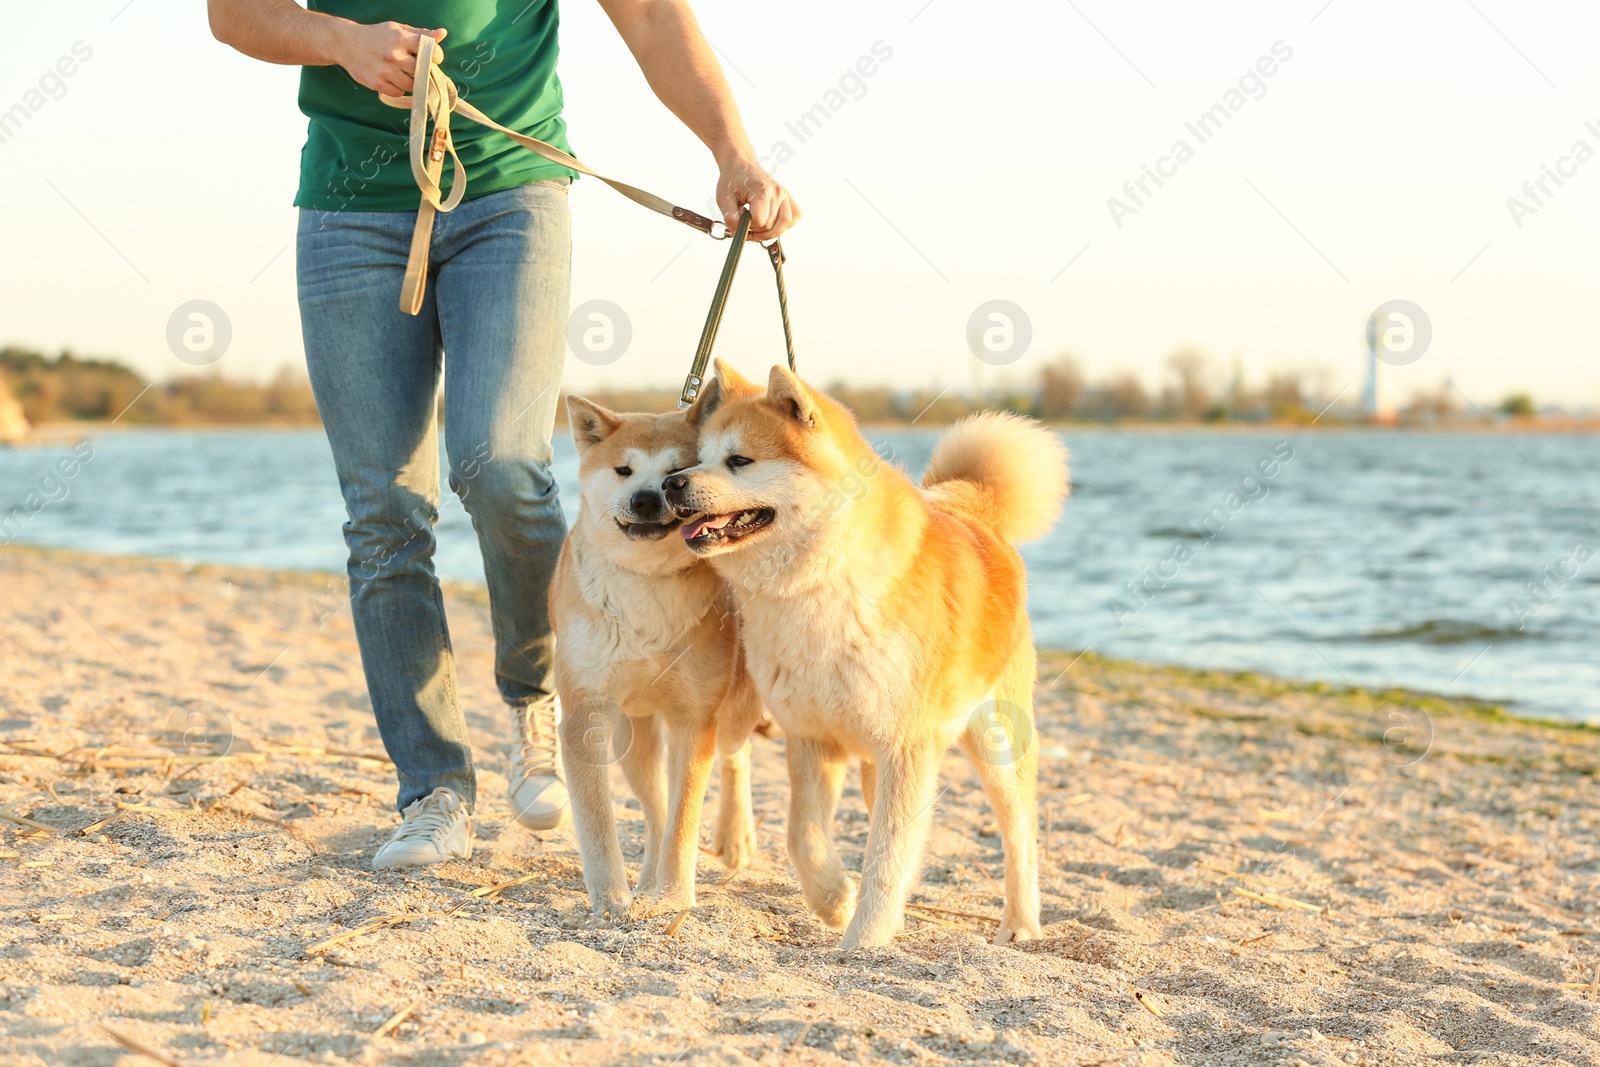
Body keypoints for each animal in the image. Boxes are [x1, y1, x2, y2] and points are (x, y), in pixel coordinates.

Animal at [550, 396, 761, 921]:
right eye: (623, 470)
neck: (646, 585)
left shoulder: (695, 718)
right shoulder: (585, 711)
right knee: (654, 806)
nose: (647, 498)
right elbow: (599, 821)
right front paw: (612, 899)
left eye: (676, 472)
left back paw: (734, 838)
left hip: (732, 709)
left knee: (736, 756)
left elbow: (685, 818)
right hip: (633, 732)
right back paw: (644, 879)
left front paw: (672, 897)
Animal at [668, 363, 1068, 947]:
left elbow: (887, 854)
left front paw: (866, 938)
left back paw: (1020, 925)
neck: (821, 585)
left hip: (997, 746)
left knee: (1021, 840)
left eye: (739, 461)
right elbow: (804, 836)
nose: (672, 483)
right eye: (698, 457)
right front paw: (834, 901)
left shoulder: (907, 748)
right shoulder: (813, 736)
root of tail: (977, 514)